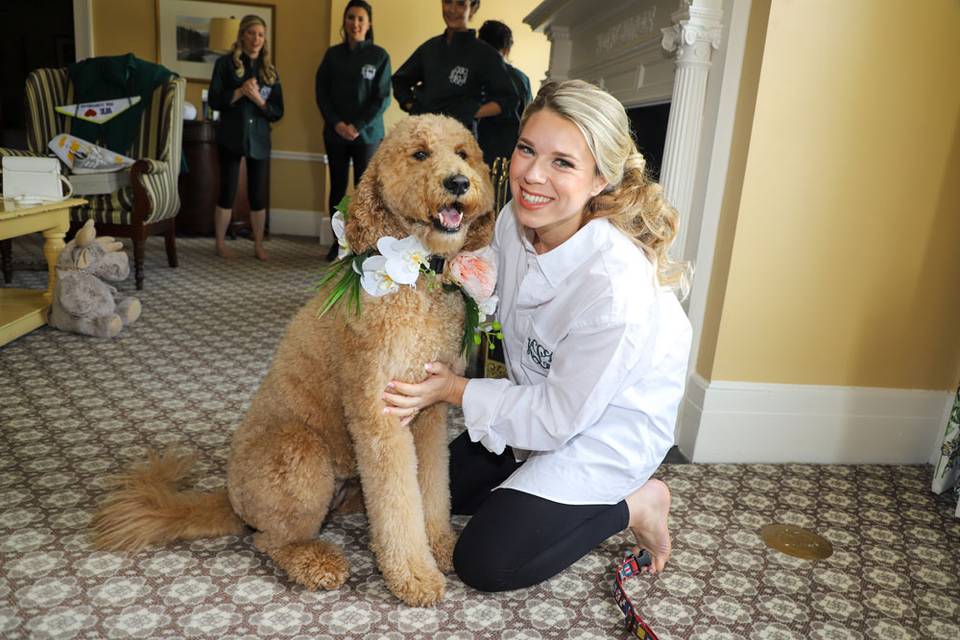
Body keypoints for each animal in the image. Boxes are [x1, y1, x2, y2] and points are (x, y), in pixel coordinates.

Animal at [92, 115, 496, 604]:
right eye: (419, 154)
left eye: (463, 153)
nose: (458, 182)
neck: (417, 280)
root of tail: (229, 497)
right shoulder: (380, 414)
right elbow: (399, 502)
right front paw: (414, 575)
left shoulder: (429, 411)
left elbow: (433, 487)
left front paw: (439, 544)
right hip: (301, 452)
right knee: (270, 539)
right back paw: (315, 560)